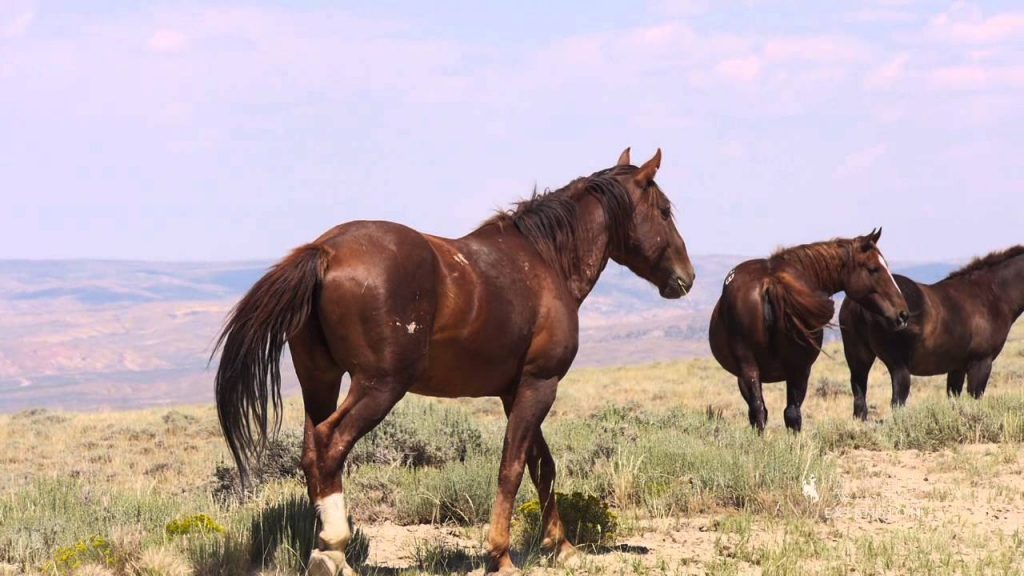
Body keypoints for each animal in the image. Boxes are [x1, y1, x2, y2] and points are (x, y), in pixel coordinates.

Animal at [212, 148, 696, 576]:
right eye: (665, 210)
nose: (686, 277)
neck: (544, 262)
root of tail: (324, 251)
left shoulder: (515, 390)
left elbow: (542, 466)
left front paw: (562, 548)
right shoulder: (540, 383)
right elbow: (512, 468)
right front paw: (500, 556)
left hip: (321, 380)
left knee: (313, 449)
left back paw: (332, 553)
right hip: (378, 387)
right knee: (330, 445)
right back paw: (332, 551)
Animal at [708, 229, 909, 432]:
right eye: (873, 269)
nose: (903, 314)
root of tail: (770, 281)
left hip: (771, 369)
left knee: (773, 412)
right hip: (791, 369)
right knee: (780, 412)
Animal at [840, 245, 1024, 418]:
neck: (990, 295)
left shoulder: (957, 367)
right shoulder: (981, 363)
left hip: (858, 361)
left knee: (859, 404)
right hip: (898, 367)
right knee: (896, 403)